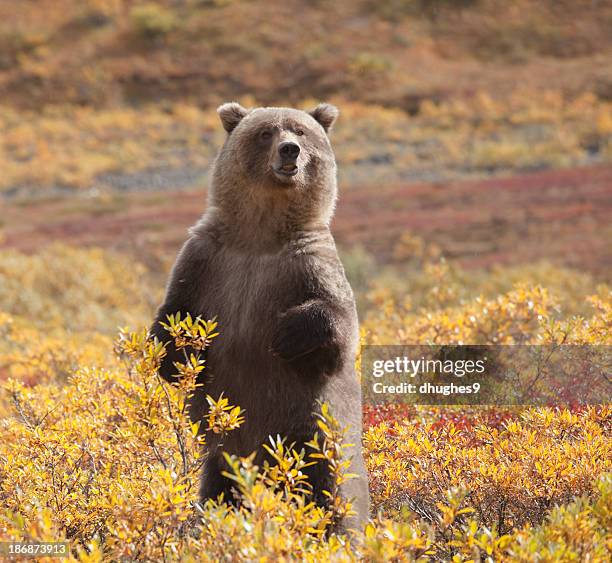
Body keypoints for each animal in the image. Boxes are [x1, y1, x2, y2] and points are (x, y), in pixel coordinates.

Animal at [151, 102, 370, 532]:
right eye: (266, 132)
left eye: (301, 131)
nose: (289, 151)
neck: (259, 235)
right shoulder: (205, 261)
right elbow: (174, 318)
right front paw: (183, 351)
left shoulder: (308, 262)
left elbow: (339, 327)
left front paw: (286, 334)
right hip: (225, 460)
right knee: (220, 496)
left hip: (313, 442)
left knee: (328, 500)